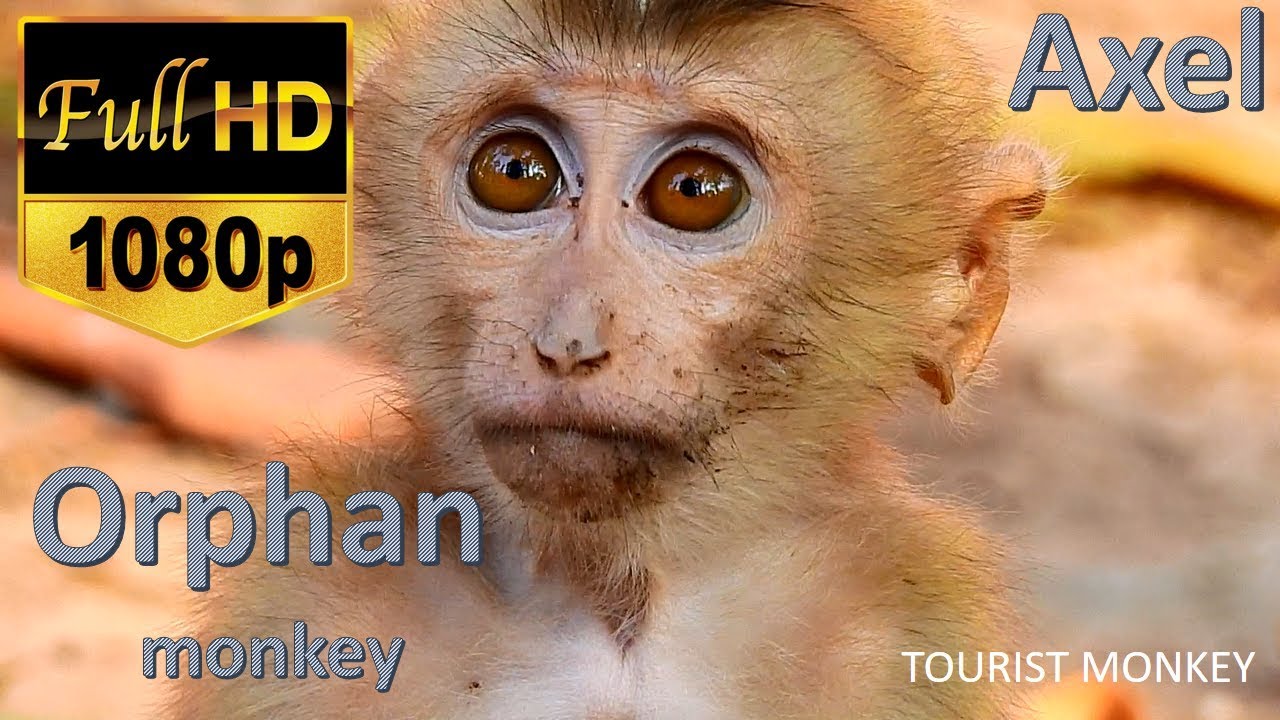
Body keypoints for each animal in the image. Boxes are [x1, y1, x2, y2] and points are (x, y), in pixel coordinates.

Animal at [166, 0, 1053, 718]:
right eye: (514, 172)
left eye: (695, 190)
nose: (567, 340)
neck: (619, 605)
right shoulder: (308, 598)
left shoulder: (903, 626)